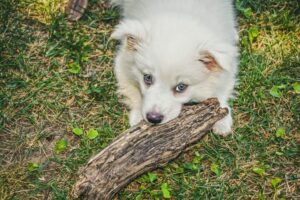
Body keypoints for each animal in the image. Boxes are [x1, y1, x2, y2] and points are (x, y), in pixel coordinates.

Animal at [110, 0, 239, 136]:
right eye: (147, 78)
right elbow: (133, 91)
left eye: (181, 87)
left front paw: (222, 121)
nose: (153, 118)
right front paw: (137, 117)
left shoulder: (229, 68)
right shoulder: (122, 64)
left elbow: (221, 91)